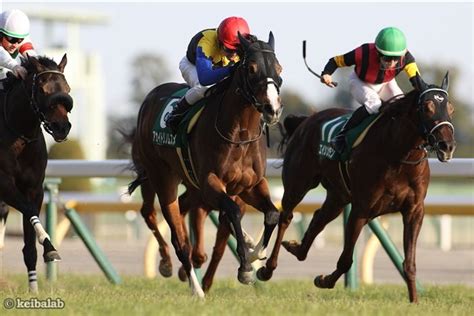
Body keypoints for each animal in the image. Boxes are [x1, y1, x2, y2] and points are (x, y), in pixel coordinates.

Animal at [0, 55, 73, 292]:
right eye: (42, 89)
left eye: (67, 89)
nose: (62, 127)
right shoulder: (4, 184)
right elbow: (29, 209)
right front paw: (48, 243)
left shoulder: (33, 188)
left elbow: (29, 246)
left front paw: (33, 288)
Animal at [131, 32, 282, 296]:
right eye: (252, 69)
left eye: (279, 68)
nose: (272, 109)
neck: (240, 135)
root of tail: (150, 99)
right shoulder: (210, 183)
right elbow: (232, 212)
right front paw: (245, 268)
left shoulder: (250, 186)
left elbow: (272, 213)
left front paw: (255, 253)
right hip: (161, 177)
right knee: (177, 237)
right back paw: (194, 287)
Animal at [258, 72, 458, 304]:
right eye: (427, 107)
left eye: (450, 108)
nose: (447, 146)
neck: (397, 154)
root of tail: (307, 120)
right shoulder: (361, 209)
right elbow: (346, 260)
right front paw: (324, 280)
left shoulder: (414, 210)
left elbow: (409, 263)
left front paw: (414, 300)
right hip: (297, 183)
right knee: (286, 216)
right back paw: (267, 268)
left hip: (338, 195)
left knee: (319, 218)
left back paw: (297, 248)